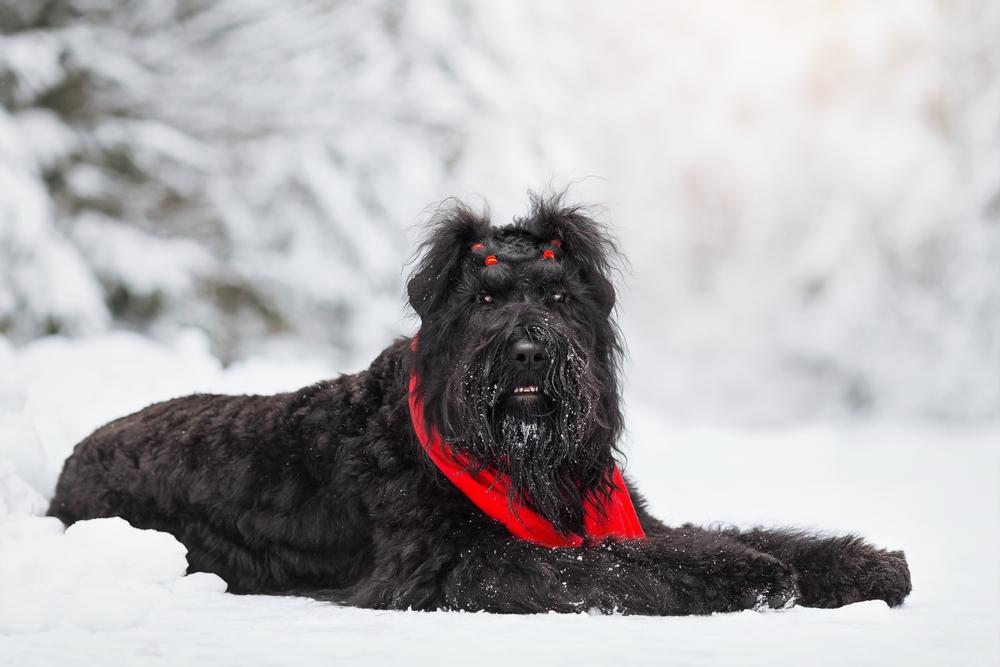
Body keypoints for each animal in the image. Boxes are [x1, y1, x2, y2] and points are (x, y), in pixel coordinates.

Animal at [48, 197, 916, 616]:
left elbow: (721, 532)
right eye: (486, 297)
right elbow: (608, 563)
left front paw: (861, 562)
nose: (528, 352)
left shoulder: (634, 516)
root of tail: (67, 465)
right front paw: (746, 575)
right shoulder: (453, 564)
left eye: (559, 295)